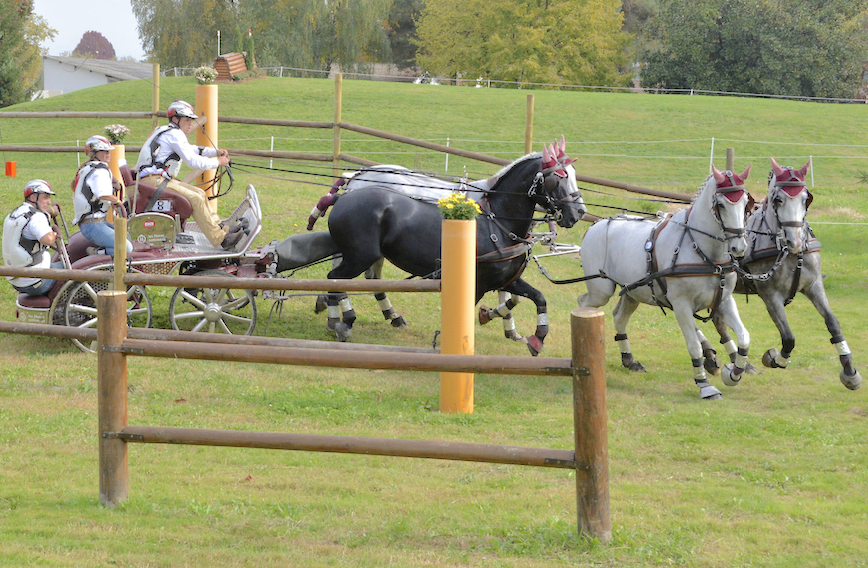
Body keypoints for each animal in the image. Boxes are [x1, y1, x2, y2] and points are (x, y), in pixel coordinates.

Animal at [321, 139, 586, 354]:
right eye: (558, 177)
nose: (578, 213)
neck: (496, 220)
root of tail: (351, 185)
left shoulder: (507, 277)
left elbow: (536, 298)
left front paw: (532, 336)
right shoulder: (478, 281)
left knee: (359, 279)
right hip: (359, 256)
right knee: (336, 277)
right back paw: (342, 319)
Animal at [577, 165, 754, 399]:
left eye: (745, 202)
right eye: (721, 204)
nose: (739, 247)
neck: (703, 251)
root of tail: (596, 224)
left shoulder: (724, 301)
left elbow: (744, 336)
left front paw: (734, 373)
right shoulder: (681, 305)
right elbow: (694, 346)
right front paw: (704, 384)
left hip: (633, 291)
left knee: (619, 316)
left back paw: (629, 360)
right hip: (601, 290)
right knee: (583, 304)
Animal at [708, 158, 861, 390]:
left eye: (806, 198)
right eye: (778, 199)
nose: (795, 241)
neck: (789, 252)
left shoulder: (814, 285)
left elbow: (833, 323)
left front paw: (850, 370)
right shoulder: (770, 296)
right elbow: (788, 337)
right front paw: (774, 358)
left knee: (717, 320)